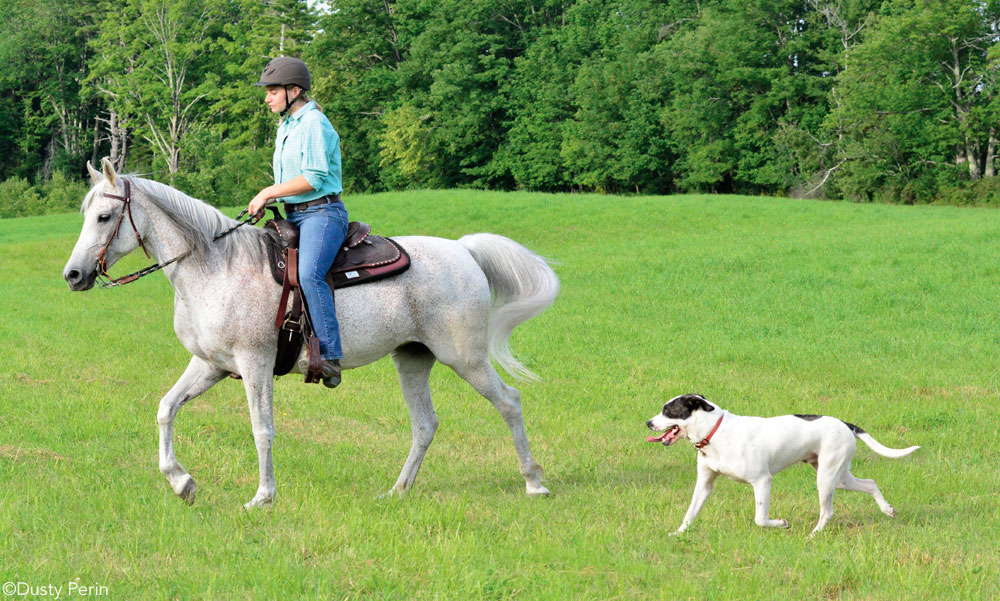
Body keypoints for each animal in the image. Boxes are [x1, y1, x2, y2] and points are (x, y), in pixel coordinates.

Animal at [65, 159, 560, 506]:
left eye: (105, 216)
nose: (73, 275)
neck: (215, 268)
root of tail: (463, 250)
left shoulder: (255, 364)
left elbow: (262, 429)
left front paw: (263, 497)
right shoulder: (210, 365)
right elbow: (167, 408)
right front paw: (182, 482)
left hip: (465, 357)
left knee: (509, 401)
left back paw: (533, 483)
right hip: (413, 358)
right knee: (425, 424)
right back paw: (398, 491)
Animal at [648, 394, 920, 536]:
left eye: (668, 410)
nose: (648, 423)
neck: (714, 431)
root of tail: (845, 423)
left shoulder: (762, 481)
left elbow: (760, 518)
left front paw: (781, 523)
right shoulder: (704, 484)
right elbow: (690, 513)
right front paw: (678, 533)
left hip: (826, 478)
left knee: (828, 511)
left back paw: (814, 534)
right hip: (839, 477)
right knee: (870, 483)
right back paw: (887, 510)